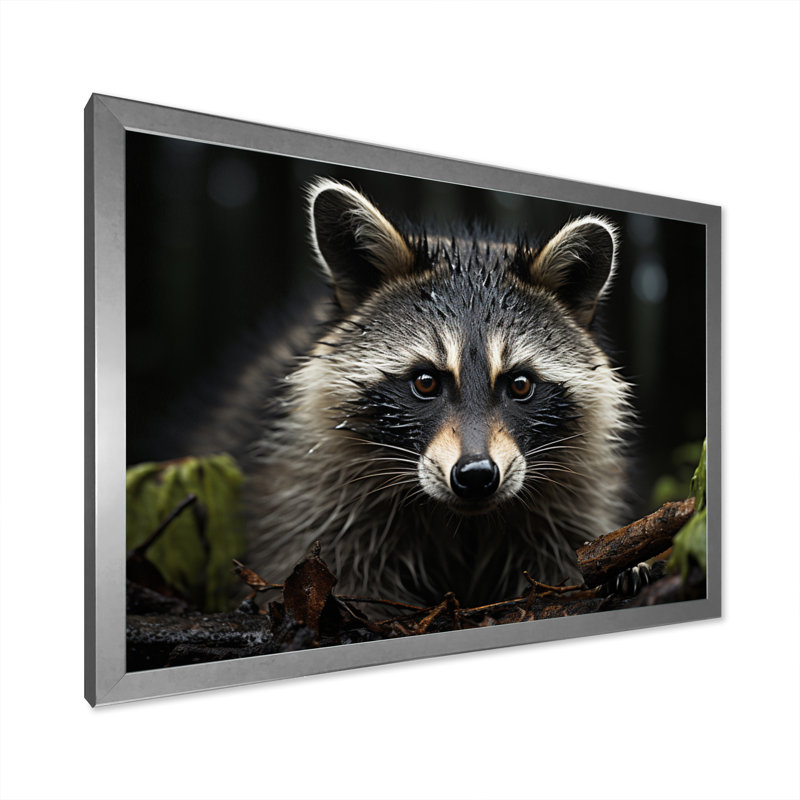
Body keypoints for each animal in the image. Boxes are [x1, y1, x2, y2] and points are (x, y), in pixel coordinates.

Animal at [197, 178, 633, 608]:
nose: (476, 475)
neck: (462, 521)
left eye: (520, 384)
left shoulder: (573, 493)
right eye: (426, 382)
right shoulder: (309, 492)